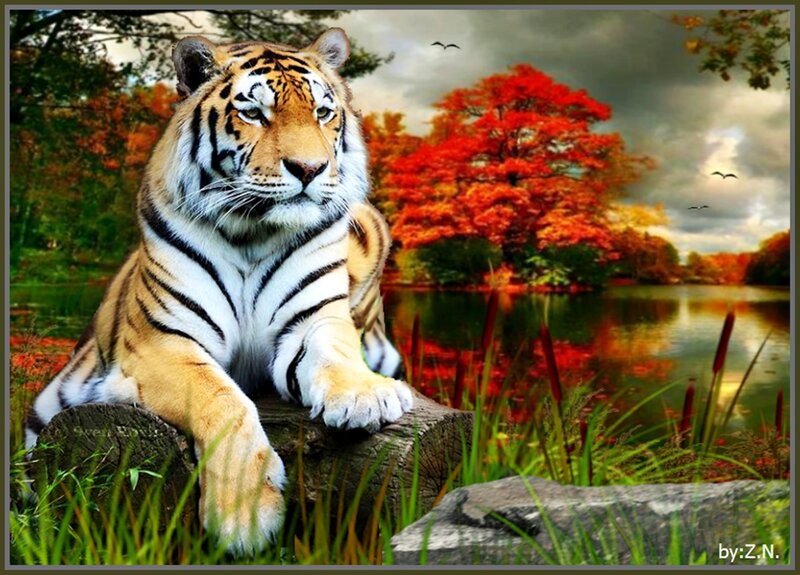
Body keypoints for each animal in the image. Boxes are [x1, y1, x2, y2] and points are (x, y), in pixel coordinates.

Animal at [24, 27, 412, 555]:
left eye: (322, 112)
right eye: (254, 113)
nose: (310, 169)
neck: (253, 232)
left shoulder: (313, 320)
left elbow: (336, 351)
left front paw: (364, 395)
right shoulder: (161, 343)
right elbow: (223, 398)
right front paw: (243, 520)